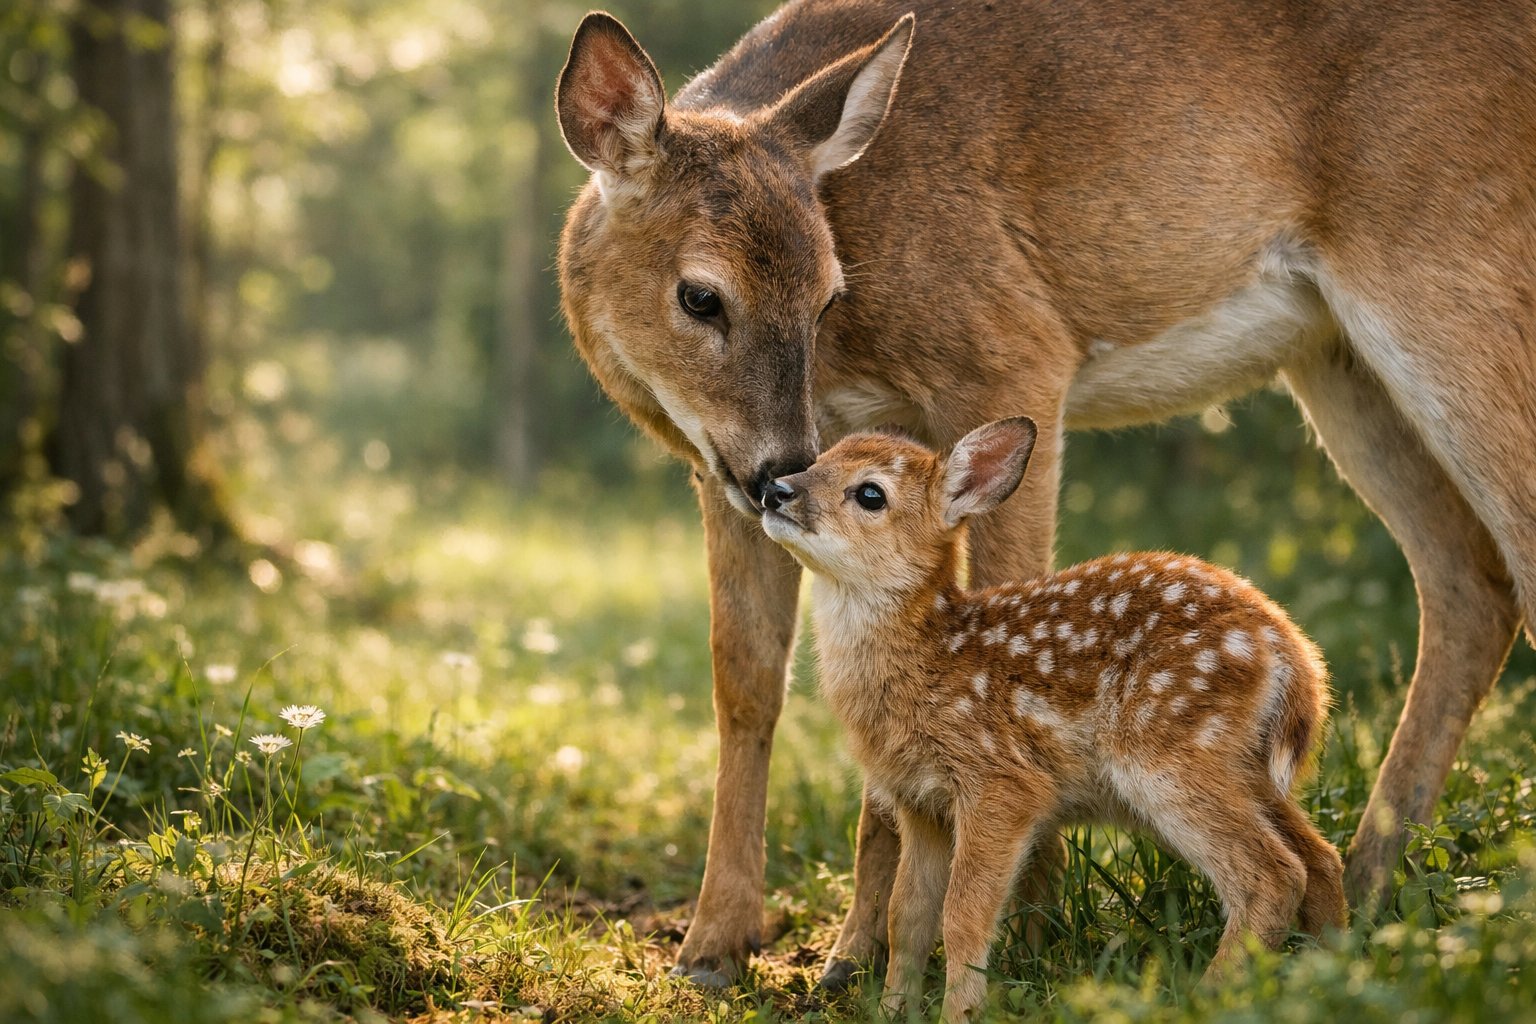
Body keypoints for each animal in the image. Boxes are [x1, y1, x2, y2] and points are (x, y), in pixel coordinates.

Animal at [758, 417, 1347, 1021]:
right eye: (818, 459)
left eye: (871, 494)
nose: (776, 489)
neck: (929, 662)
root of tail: (1293, 655)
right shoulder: (918, 802)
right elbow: (908, 917)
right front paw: (894, 1011)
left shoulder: (1000, 780)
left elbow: (962, 916)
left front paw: (960, 1013)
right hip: (1242, 764)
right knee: (1321, 858)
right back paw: (1331, 971)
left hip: (1168, 750)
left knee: (1274, 874)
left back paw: (1205, 998)